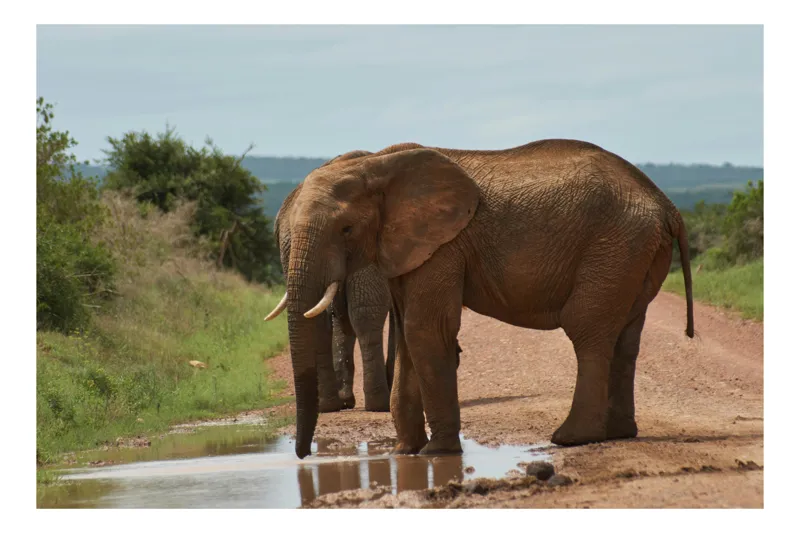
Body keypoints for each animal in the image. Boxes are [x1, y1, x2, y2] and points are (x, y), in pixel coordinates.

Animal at [263, 139, 694, 459]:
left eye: (346, 229)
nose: (303, 455)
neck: (376, 164)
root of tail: (666, 204)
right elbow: (408, 336)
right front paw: (405, 451)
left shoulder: (444, 245)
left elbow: (425, 330)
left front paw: (436, 452)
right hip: (636, 252)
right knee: (626, 337)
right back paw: (619, 433)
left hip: (615, 246)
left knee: (588, 331)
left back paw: (571, 439)